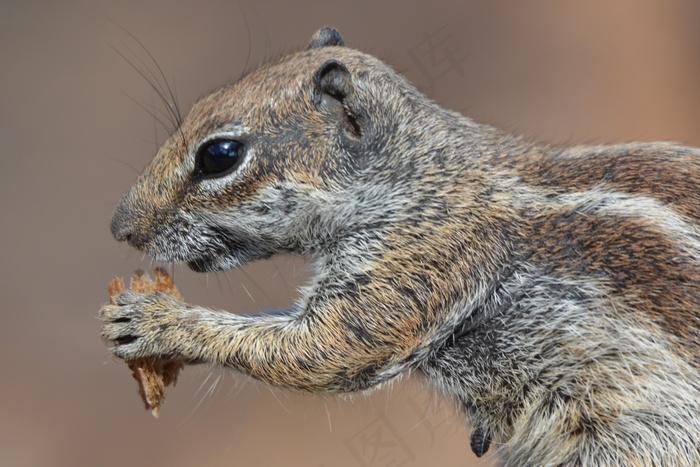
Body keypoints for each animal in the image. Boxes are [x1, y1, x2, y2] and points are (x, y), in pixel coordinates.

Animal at [100, 27, 700, 466]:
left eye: (219, 155)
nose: (120, 227)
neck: (418, 174)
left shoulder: (419, 258)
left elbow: (321, 350)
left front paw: (157, 320)